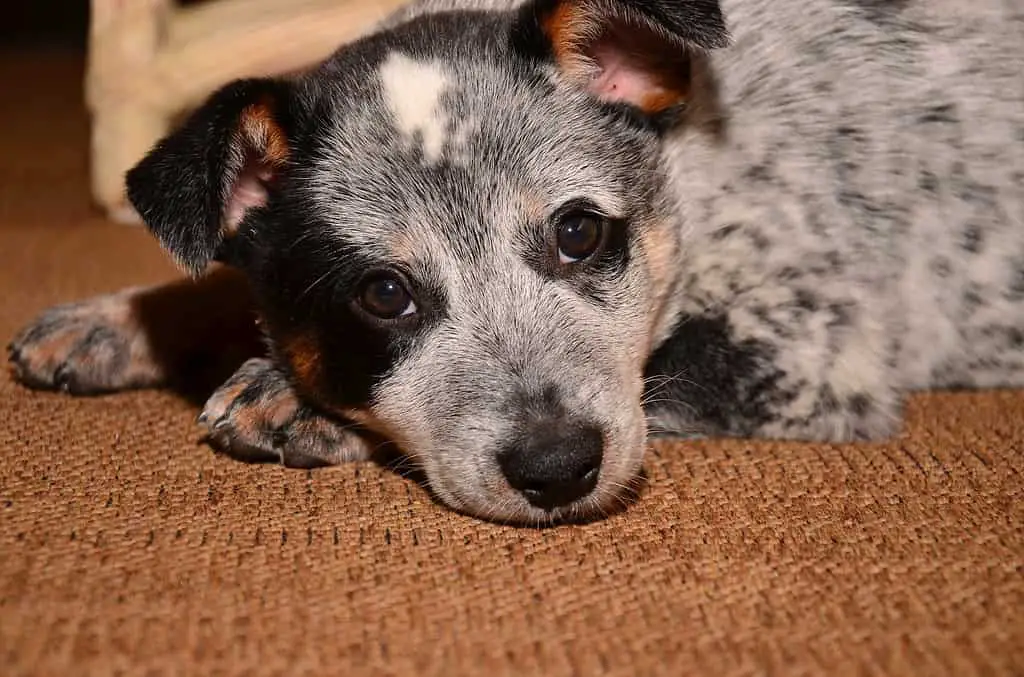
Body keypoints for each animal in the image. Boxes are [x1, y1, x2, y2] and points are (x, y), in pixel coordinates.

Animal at [8, 0, 1024, 522]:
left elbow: (660, 373)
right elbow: (221, 280)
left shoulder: (807, 349)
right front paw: (115, 320)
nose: (556, 466)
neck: (691, 154)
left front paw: (287, 396)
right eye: (384, 292)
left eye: (578, 232)